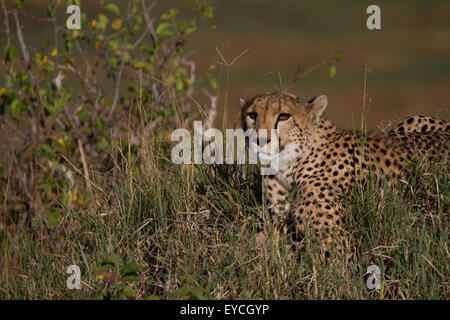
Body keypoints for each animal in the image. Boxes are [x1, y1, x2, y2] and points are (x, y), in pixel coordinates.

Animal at [241, 92, 448, 255]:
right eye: (252, 115)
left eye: (284, 116)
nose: (260, 140)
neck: (290, 165)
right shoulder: (277, 220)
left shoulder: (333, 242)